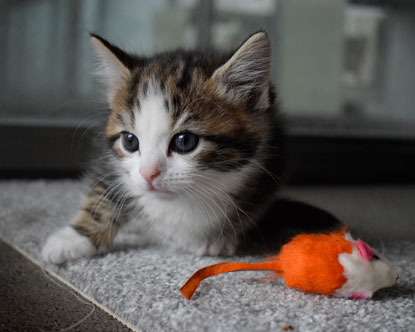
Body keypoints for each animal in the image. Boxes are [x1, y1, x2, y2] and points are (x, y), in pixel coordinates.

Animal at [41, 31, 342, 264]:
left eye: (185, 142)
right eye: (130, 141)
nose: (148, 174)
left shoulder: (269, 161)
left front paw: (218, 236)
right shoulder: (110, 161)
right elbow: (104, 192)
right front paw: (74, 237)